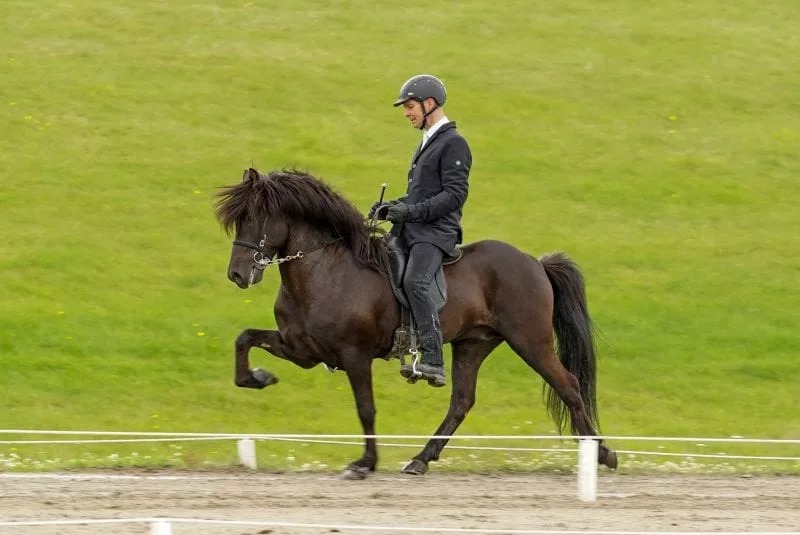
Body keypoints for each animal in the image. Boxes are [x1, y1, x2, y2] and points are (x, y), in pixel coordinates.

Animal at [216, 169, 616, 482]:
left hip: (530, 341)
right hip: (474, 344)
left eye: (255, 216)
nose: (236, 274)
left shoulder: (354, 355)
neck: (325, 270)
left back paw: (602, 454)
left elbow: (366, 408)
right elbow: (243, 339)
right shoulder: (301, 349)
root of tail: (535, 263)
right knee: (461, 402)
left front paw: (364, 464)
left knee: (569, 387)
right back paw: (420, 460)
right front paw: (259, 378)